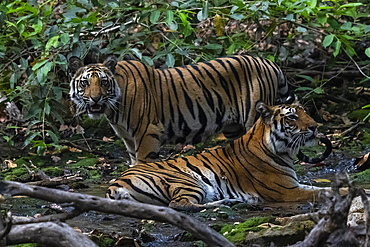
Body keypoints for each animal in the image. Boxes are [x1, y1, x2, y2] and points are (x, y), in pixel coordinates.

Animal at [68, 55, 290, 165]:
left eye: (104, 82)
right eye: (85, 83)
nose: (95, 98)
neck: (114, 109)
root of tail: (270, 63)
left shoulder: (147, 132)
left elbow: (143, 163)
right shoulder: (129, 139)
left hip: (253, 118)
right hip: (233, 128)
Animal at [105, 100, 332, 210]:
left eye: (305, 112)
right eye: (292, 117)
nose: (315, 126)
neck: (282, 150)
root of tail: (116, 183)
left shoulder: (294, 185)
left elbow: (322, 188)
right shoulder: (286, 191)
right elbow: (322, 192)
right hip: (188, 180)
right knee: (179, 204)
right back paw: (232, 203)